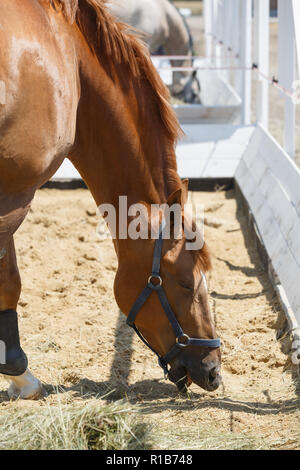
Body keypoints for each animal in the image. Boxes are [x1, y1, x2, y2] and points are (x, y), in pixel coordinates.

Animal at [0, 0, 220, 398]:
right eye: (185, 281)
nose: (214, 370)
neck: (68, 56)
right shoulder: (14, 193)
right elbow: (9, 281)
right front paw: (21, 376)